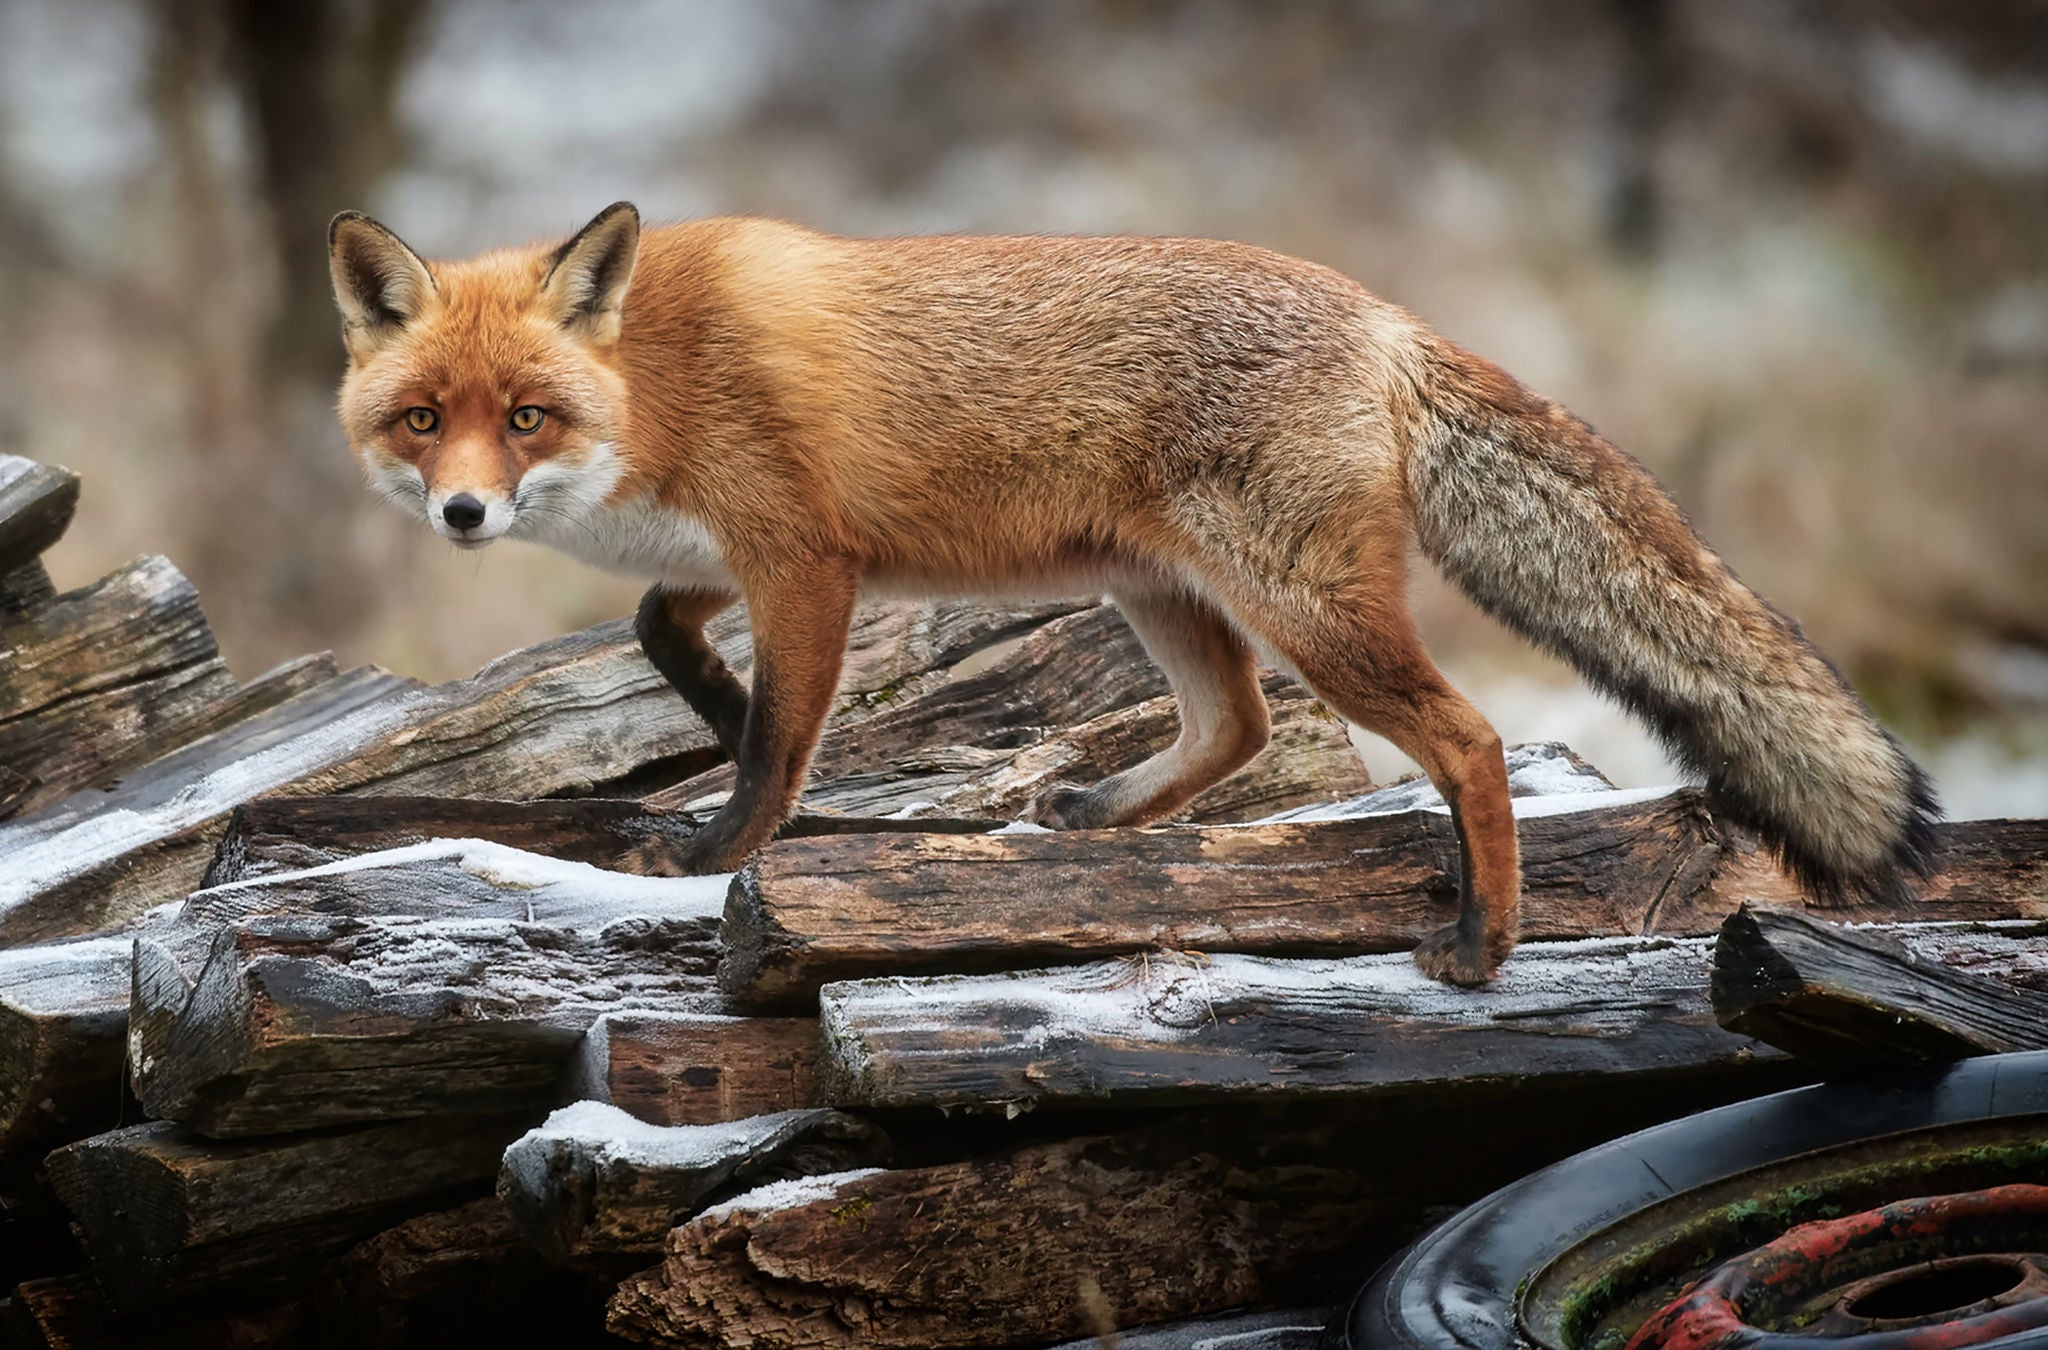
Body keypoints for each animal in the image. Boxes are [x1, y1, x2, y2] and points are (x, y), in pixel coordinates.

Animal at [323, 200, 1933, 987]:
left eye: (527, 417)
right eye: (427, 420)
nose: (463, 511)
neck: (655, 373)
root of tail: (1383, 318)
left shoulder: (805, 560)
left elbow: (782, 736)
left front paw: (725, 838)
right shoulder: (739, 564)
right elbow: (666, 636)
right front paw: (714, 726)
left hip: (1301, 611)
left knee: (1467, 738)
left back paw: (1483, 943)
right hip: (1160, 591)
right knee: (1233, 728)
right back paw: (1099, 820)